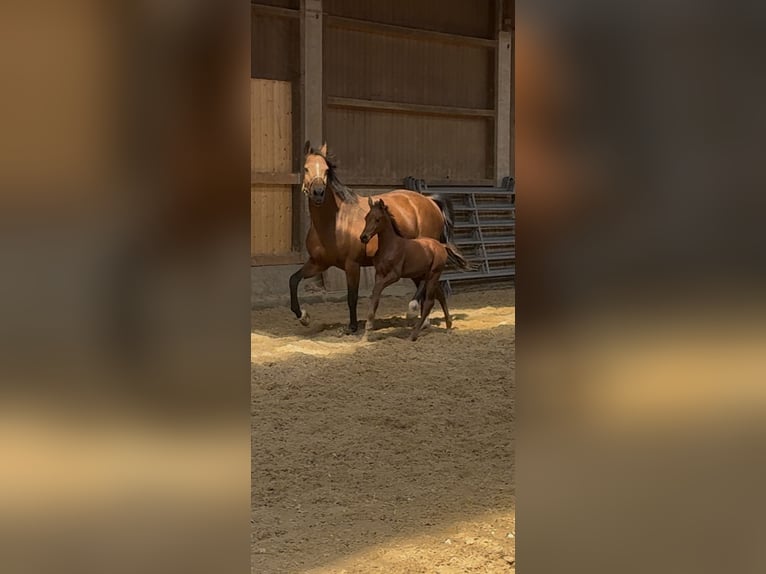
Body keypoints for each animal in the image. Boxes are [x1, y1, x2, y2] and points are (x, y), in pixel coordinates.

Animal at [289, 141, 460, 333]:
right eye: (306, 168)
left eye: (326, 170)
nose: (318, 193)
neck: (334, 222)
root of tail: (430, 201)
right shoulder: (318, 263)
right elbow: (293, 280)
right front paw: (303, 317)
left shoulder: (352, 265)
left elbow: (352, 296)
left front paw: (352, 327)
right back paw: (423, 321)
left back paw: (414, 312)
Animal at [360, 197, 472, 341]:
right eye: (366, 217)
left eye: (378, 219)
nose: (363, 237)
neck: (391, 246)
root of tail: (441, 245)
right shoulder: (379, 274)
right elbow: (375, 297)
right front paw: (366, 334)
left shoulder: (394, 275)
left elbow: (377, 291)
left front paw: (368, 329)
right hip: (428, 276)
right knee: (440, 295)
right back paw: (448, 326)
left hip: (433, 274)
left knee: (430, 302)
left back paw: (413, 334)